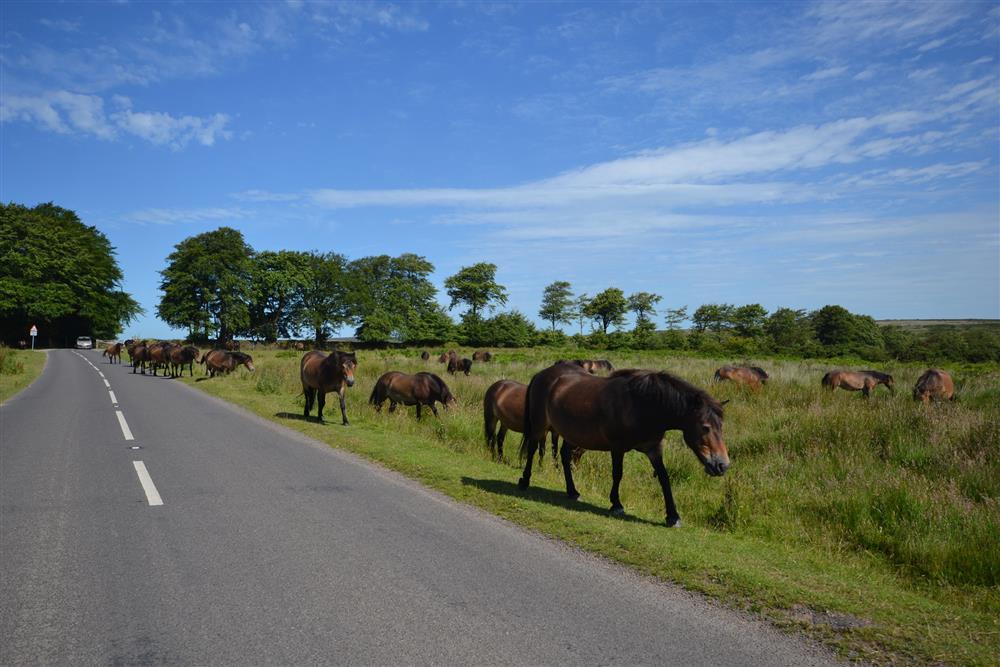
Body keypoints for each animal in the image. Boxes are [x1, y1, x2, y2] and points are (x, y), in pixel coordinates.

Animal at [516, 366, 728, 528]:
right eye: (705, 427)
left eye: (721, 426)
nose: (722, 465)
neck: (641, 405)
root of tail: (542, 374)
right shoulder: (617, 448)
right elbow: (618, 474)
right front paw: (616, 504)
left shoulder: (654, 450)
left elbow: (664, 479)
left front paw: (672, 516)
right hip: (539, 426)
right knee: (533, 450)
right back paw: (524, 481)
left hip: (570, 433)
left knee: (565, 456)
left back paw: (572, 491)